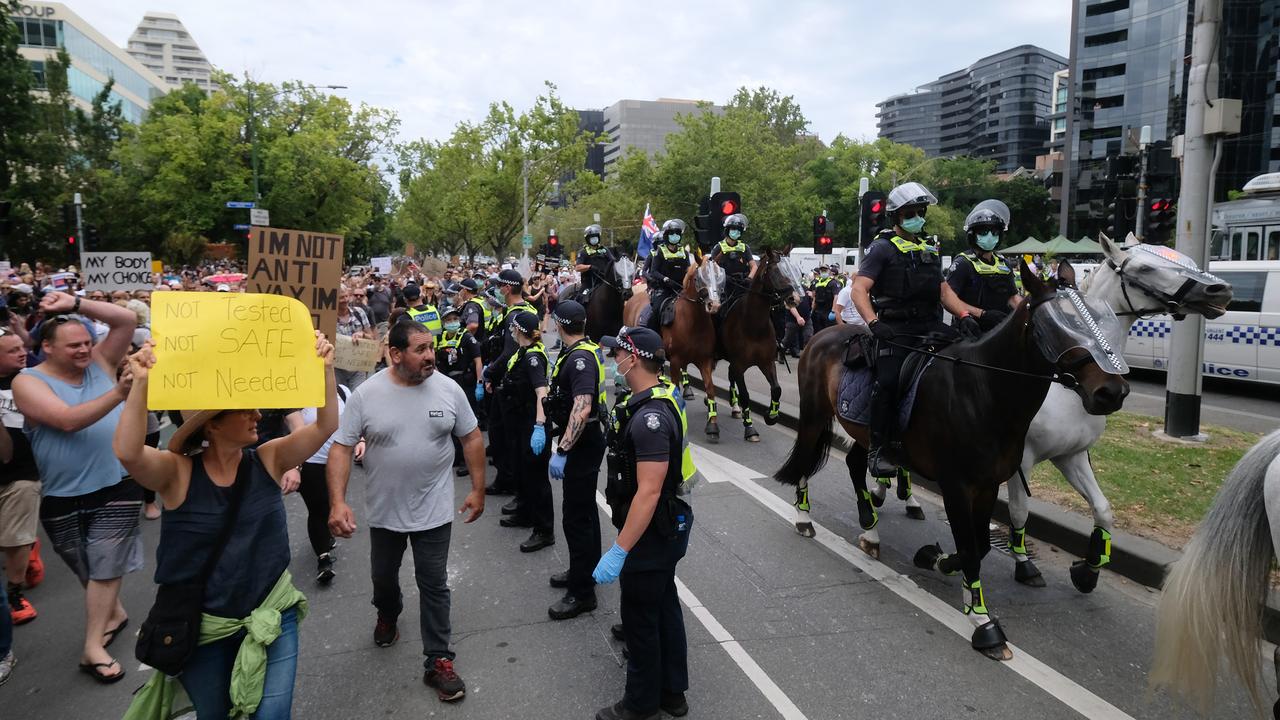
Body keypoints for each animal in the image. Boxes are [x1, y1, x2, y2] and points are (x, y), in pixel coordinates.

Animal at [762, 260, 1126, 661]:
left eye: (1099, 320)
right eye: (1057, 326)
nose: (1113, 391)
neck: (984, 391)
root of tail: (822, 335)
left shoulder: (989, 484)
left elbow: (980, 545)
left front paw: (938, 563)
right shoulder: (956, 485)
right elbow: (970, 548)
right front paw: (982, 622)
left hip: (866, 433)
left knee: (857, 464)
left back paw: (870, 529)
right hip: (815, 414)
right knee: (806, 460)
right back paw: (803, 516)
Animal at [1003, 235, 1233, 589]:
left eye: (1189, 261)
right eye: (1145, 268)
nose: (1219, 290)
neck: (1064, 386)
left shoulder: (1072, 455)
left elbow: (1103, 508)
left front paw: (1089, 568)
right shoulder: (1021, 460)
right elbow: (1018, 510)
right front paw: (1024, 563)